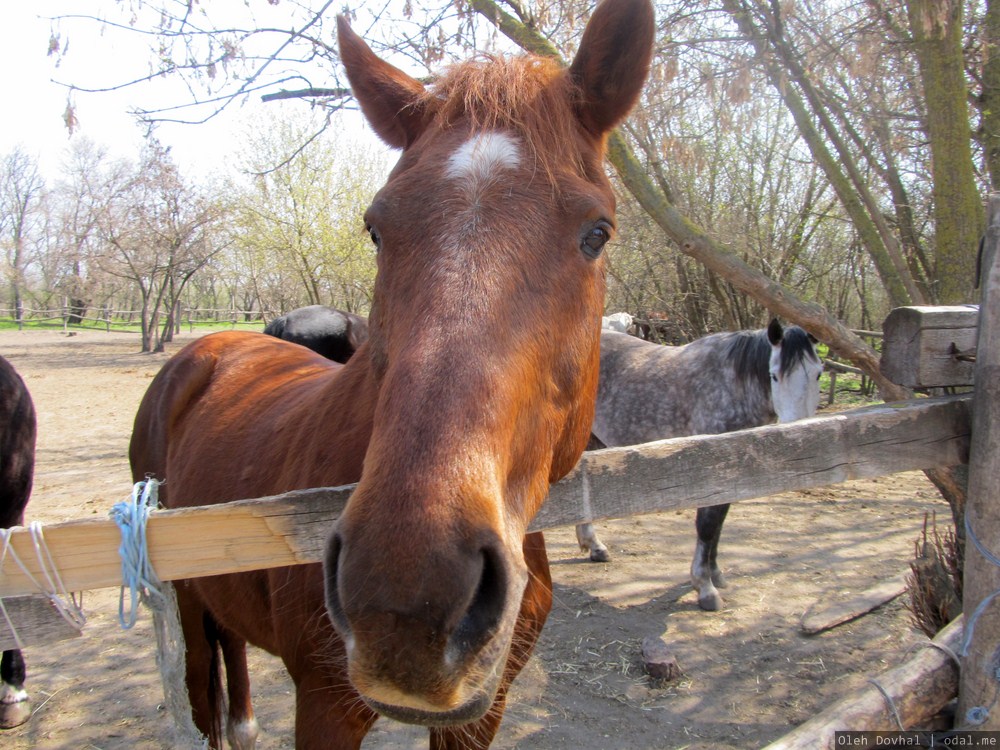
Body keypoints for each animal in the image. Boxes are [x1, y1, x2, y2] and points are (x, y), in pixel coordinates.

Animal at [127, 0, 656, 748]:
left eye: (598, 232)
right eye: (376, 228)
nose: (405, 599)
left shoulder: (482, 712)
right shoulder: (325, 704)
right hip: (183, 606)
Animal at [576, 322, 824, 612]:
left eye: (818, 374)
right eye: (774, 376)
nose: (802, 437)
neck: (732, 385)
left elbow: (719, 524)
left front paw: (715, 574)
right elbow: (707, 525)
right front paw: (705, 588)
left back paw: (594, 546)